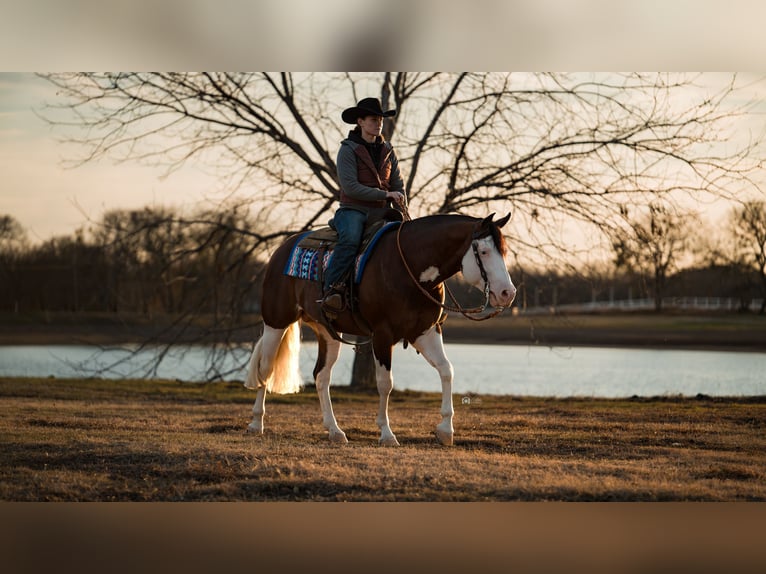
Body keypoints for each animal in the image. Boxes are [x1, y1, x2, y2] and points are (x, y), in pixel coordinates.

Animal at [244, 214, 520, 448]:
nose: (508, 293)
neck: (410, 267)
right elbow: (386, 383)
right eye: (483, 251)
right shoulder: (382, 335)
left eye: (504, 251)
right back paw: (256, 423)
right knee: (265, 369)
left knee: (321, 376)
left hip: (327, 332)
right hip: (276, 322)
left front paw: (445, 430)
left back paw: (335, 430)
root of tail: (282, 249)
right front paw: (387, 434)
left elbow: (446, 370)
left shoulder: (425, 332)